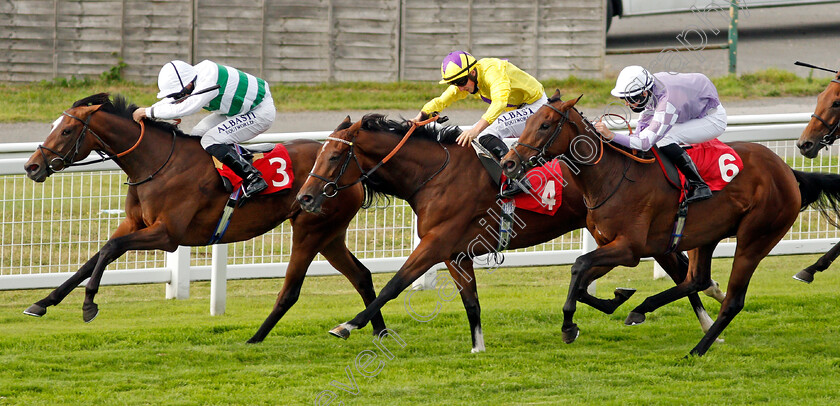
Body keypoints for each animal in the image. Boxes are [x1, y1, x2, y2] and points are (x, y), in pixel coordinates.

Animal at [21, 93, 386, 342]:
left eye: (67, 131)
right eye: (53, 126)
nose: (31, 166)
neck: (156, 163)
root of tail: (353, 171)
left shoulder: (167, 235)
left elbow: (111, 249)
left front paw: (89, 305)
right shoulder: (135, 224)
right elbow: (95, 257)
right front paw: (42, 302)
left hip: (312, 231)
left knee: (292, 290)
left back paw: (256, 339)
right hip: (329, 235)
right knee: (361, 276)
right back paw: (377, 330)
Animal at [294, 112, 720, 352]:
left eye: (334, 155)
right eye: (318, 154)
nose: (304, 198)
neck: (434, 175)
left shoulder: (435, 244)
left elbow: (394, 285)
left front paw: (347, 326)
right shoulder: (455, 253)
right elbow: (471, 302)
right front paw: (478, 348)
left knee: (679, 270)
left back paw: (704, 322)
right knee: (680, 269)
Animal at [502, 91, 840, 356]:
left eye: (544, 125)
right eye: (527, 123)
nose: (508, 162)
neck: (611, 176)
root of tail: (788, 172)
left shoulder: (629, 249)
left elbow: (578, 265)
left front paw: (569, 325)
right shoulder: (614, 246)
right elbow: (582, 280)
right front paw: (617, 299)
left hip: (755, 238)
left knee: (733, 300)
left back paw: (698, 349)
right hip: (707, 235)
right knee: (697, 279)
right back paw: (641, 309)